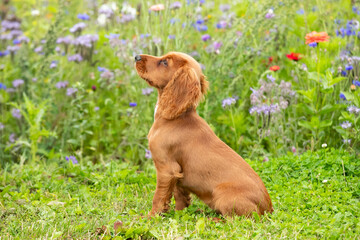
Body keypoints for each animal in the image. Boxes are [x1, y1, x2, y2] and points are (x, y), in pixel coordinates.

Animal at [135, 51, 272, 217]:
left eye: (165, 62)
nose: (136, 57)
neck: (176, 117)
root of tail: (268, 209)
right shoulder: (177, 172)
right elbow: (180, 195)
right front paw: (180, 214)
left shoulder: (166, 168)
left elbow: (159, 197)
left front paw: (151, 216)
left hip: (222, 194)